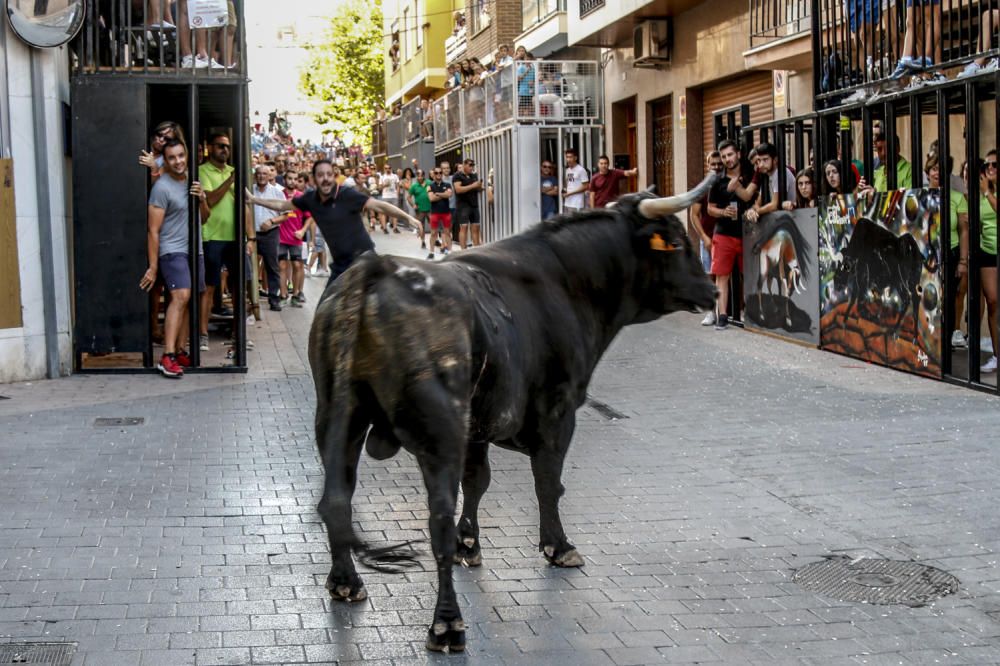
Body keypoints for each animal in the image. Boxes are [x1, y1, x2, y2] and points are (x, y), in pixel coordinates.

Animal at [306, 174, 720, 652]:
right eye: (675, 242)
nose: (713, 290)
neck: (564, 282)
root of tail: (374, 272)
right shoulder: (557, 410)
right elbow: (548, 483)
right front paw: (558, 546)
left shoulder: (478, 427)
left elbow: (478, 481)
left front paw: (470, 545)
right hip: (438, 431)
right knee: (436, 517)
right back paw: (447, 624)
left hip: (338, 418)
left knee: (336, 501)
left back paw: (345, 583)